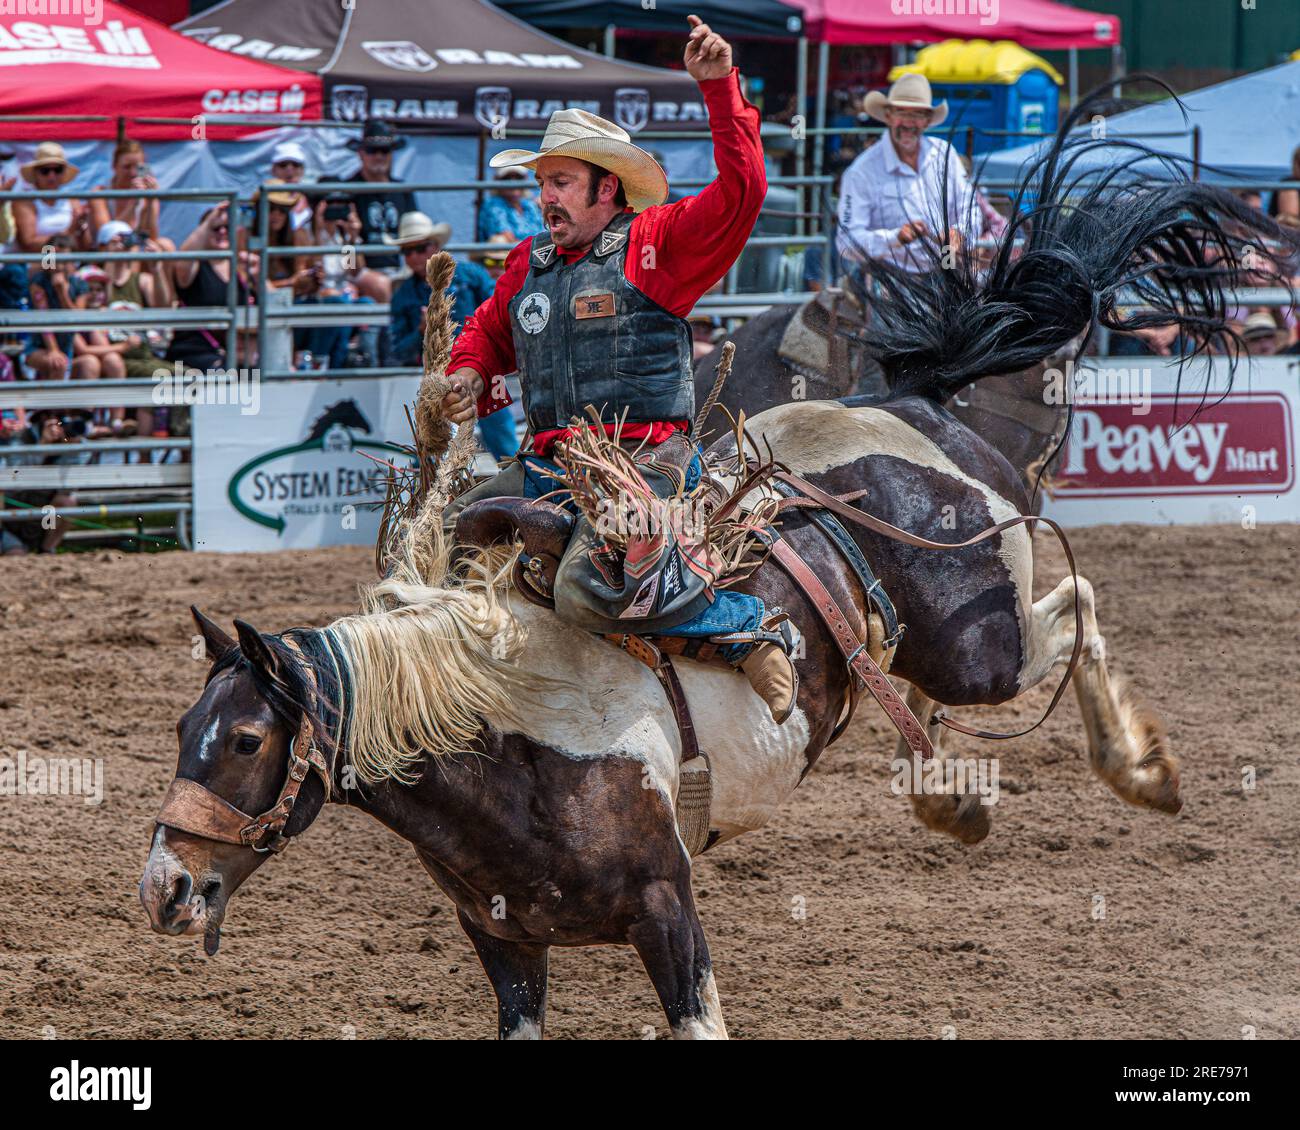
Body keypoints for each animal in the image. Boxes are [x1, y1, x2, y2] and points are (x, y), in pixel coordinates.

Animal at [137, 92, 1294, 1035]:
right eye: (184, 728)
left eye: (245, 739)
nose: (164, 888)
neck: (510, 737)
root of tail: (913, 398)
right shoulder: (502, 939)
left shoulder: (667, 910)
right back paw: (950, 795)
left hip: (986, 639)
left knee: (1075, 604)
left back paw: (1138, 770)